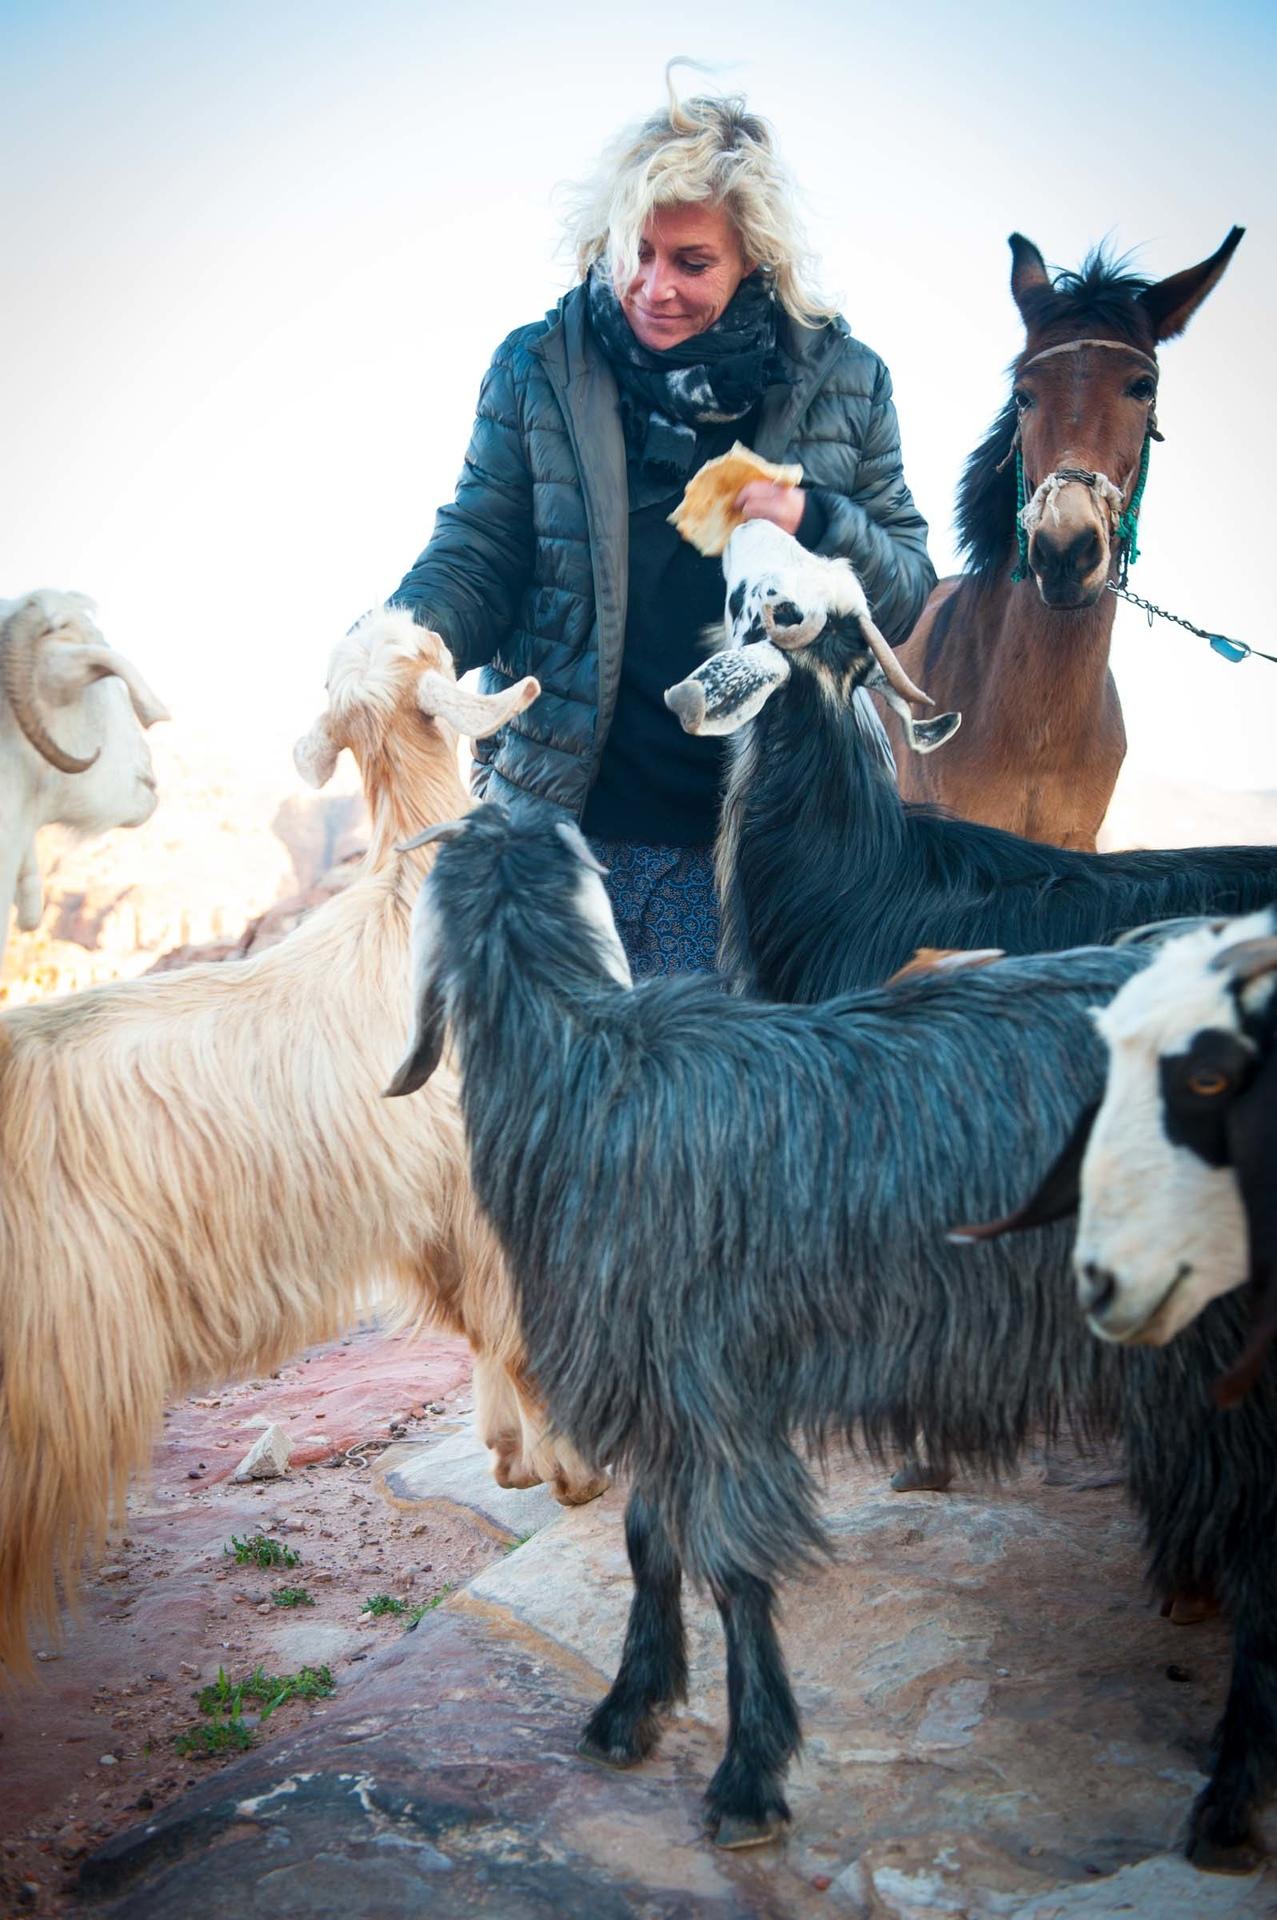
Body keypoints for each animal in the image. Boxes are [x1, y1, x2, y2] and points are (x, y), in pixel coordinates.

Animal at [384, 802, 1275, 1866]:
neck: (590, 1074)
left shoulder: (711, 1385)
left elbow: (731, 1568)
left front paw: (746, 1781)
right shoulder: (660, 1387)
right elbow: (647, 1539)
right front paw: (629, 1710)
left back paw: (1226, 1805)